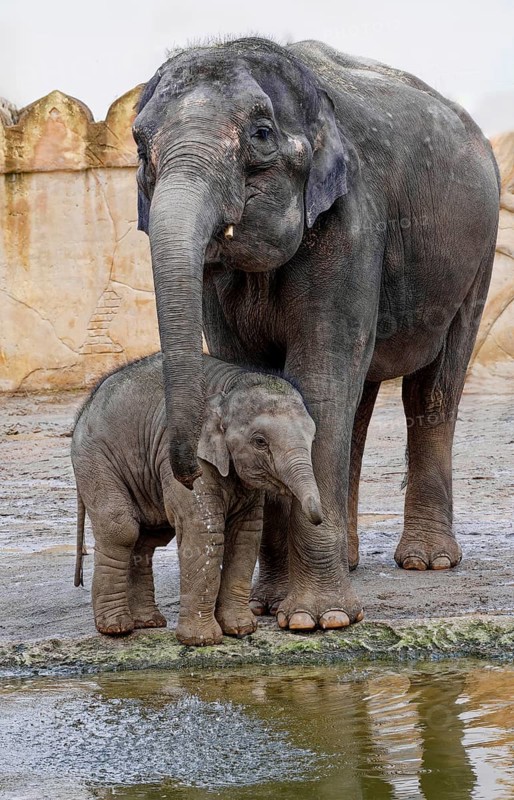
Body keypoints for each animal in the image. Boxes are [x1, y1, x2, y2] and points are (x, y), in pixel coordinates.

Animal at [71, 352, 321, 645]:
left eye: (312, 438)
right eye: (260, 442)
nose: (317, 517)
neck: (229, 388)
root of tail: (83, 410)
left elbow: (245, 535)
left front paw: (241, 629)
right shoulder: (191, 458)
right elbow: (204, 530)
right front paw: (203, 640)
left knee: (148, 537)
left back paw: (148, 622)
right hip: (95, 459)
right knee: (121, 529)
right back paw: (116, 628)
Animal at [132, 37, 500, 632]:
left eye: (261, 134)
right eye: (140, 146)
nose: (185, 473)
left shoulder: (351, 220)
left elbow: (320, 380)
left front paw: (317, 619)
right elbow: (260, 379)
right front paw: (267, 606)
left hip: (478, 256)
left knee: (433, 389)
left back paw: (429, 561)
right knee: (361, 401)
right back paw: (350, 561)